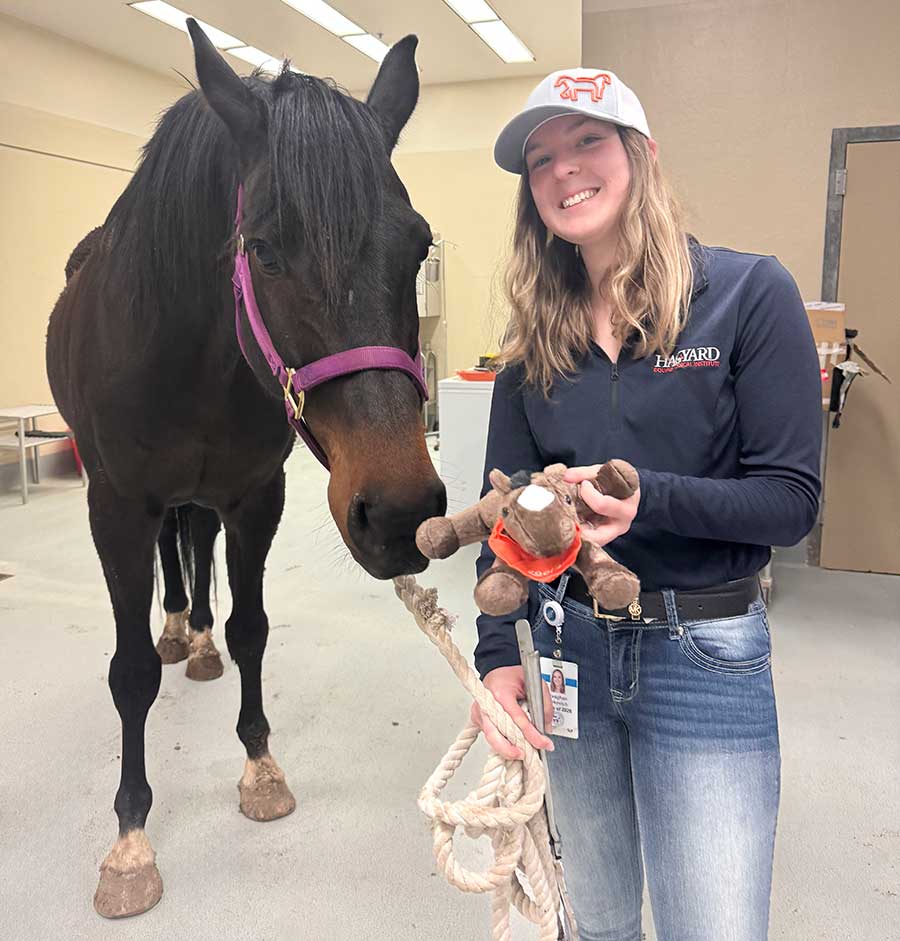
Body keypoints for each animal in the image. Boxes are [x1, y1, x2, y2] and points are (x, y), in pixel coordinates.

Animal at [46, 22, 446, 918]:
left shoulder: (255, 495)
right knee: (171, 557)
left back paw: (194, 637)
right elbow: (129, 673)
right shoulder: (115, 506)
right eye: (261, 250)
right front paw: (130, 836)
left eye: (420, 246)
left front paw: (260, 764)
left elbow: (252, 628)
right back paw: (173, 629)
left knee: (194, 549)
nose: (400, 512)